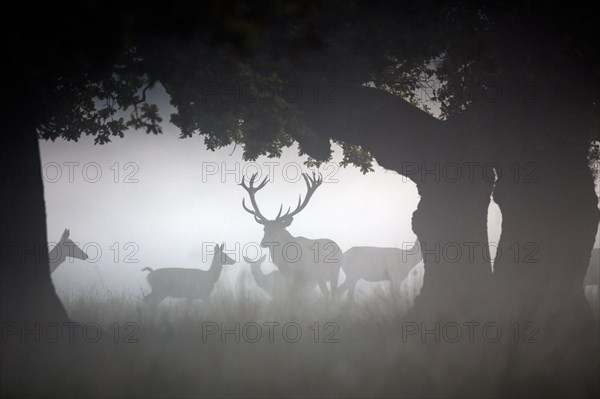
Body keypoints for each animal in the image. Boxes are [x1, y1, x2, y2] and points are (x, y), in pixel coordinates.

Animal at [240, 172, 342, 300]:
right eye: (264, 228)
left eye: (278, 229)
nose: (263, 243)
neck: (286, 262)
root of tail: (340, 249)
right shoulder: (285, 275)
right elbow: (288, 294)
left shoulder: (301, 275)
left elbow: (296, 296)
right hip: (320, 277)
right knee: (326, 293)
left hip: (334, 272)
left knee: (333, 293)